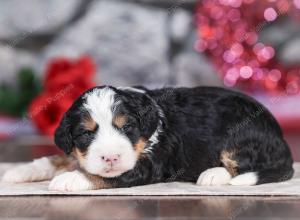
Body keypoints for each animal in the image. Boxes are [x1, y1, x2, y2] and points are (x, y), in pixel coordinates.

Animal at [1, 86, 292, 191]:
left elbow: (106, 175)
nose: (110, 157)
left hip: (239, 136)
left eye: (127, 127)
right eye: (86, 133)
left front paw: (71, 179)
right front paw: (19, 171)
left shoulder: (149, 165)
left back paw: (213, 174)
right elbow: (58, 158)